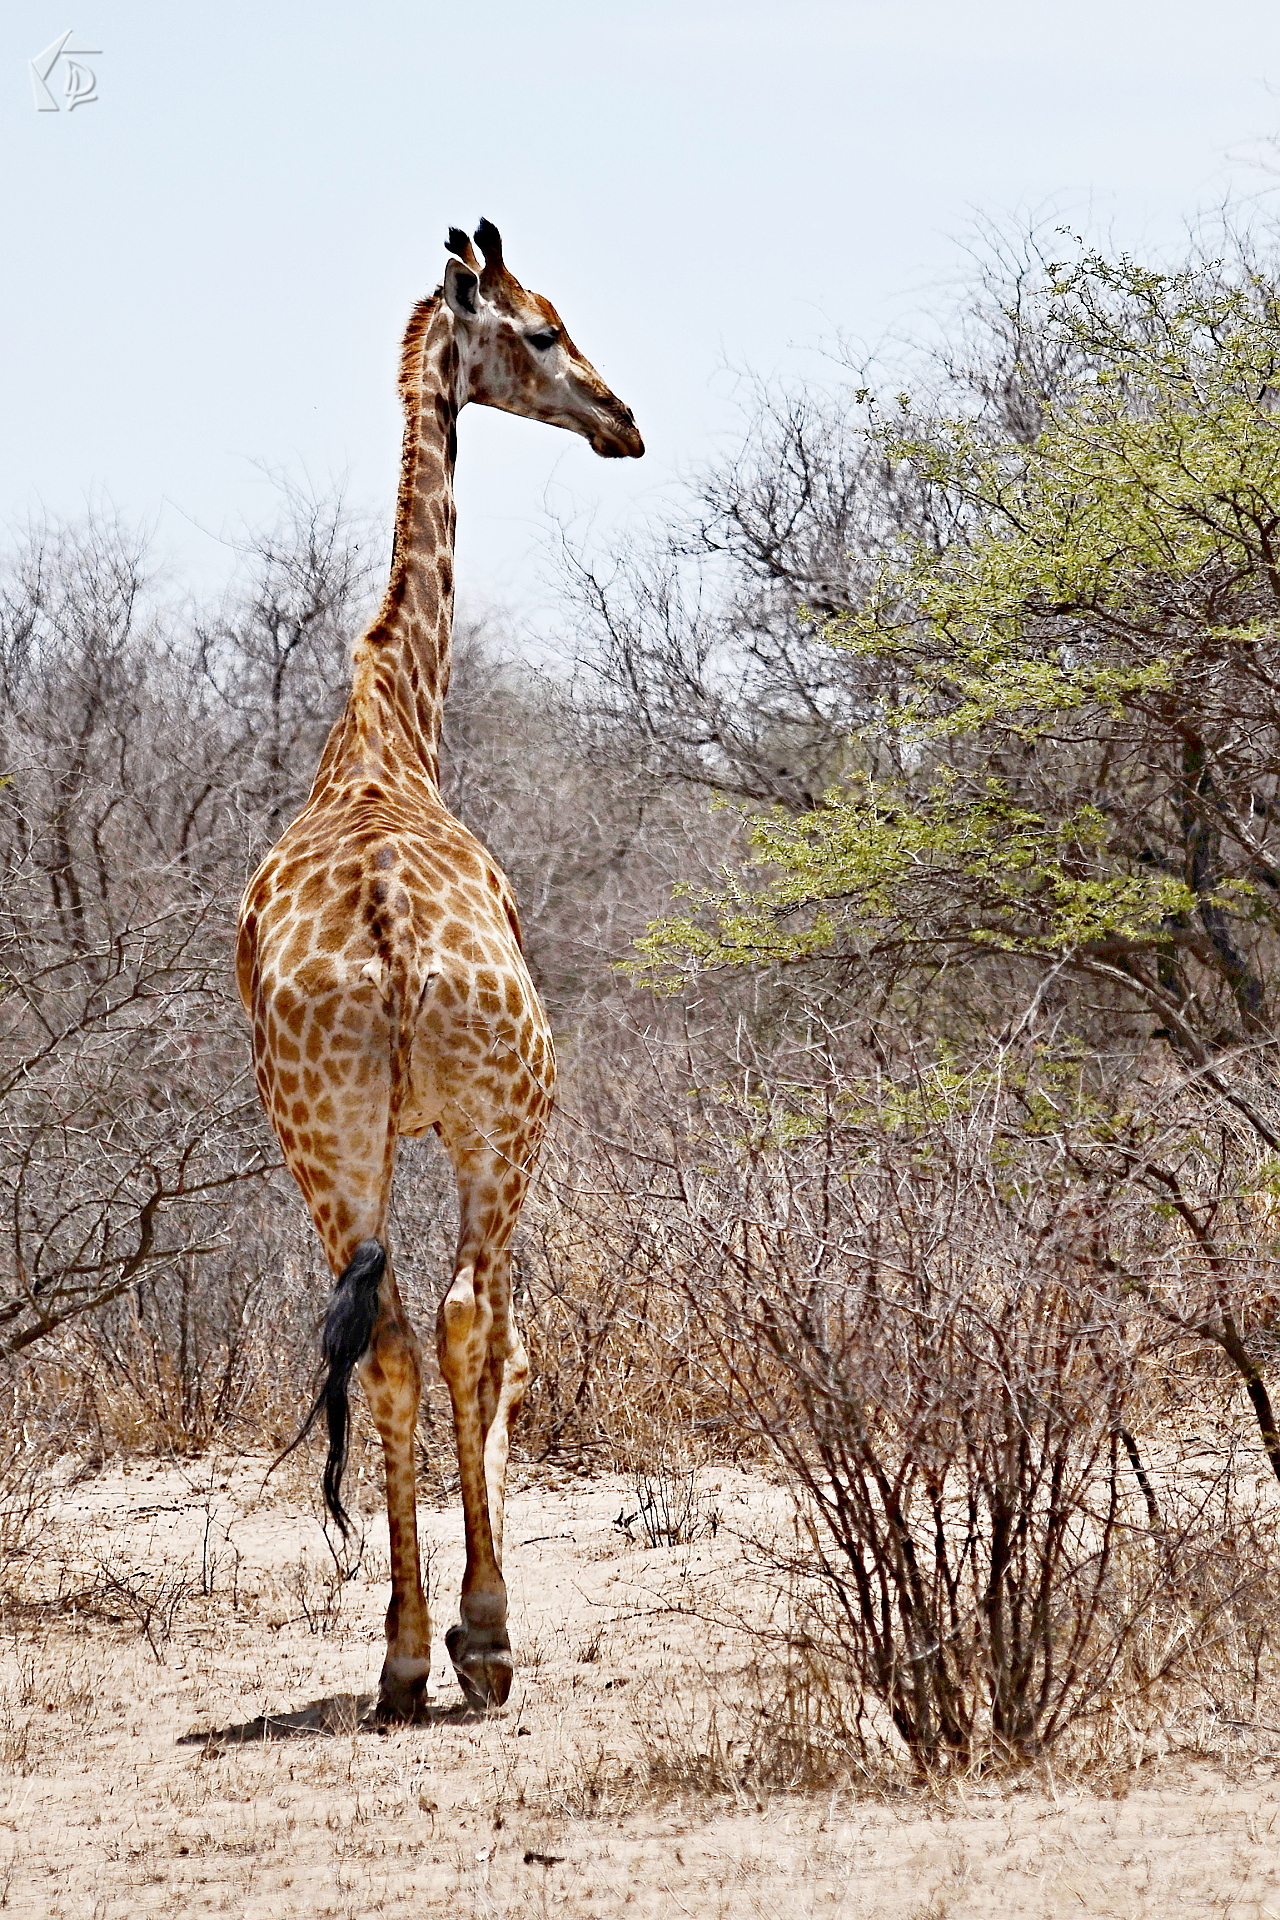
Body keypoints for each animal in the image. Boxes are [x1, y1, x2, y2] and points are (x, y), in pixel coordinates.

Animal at [236, 220, 643, 1717]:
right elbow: (511, 1342)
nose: (622, 419)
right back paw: (479, 1636)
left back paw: (403, 1656)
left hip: (323, 1140)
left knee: (395, 1335)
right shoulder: (501, 1123)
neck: (384, 732)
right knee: (471, 1319)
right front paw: (489, 1624)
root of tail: (390, 930)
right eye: (539, 328)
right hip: (501, 1115)